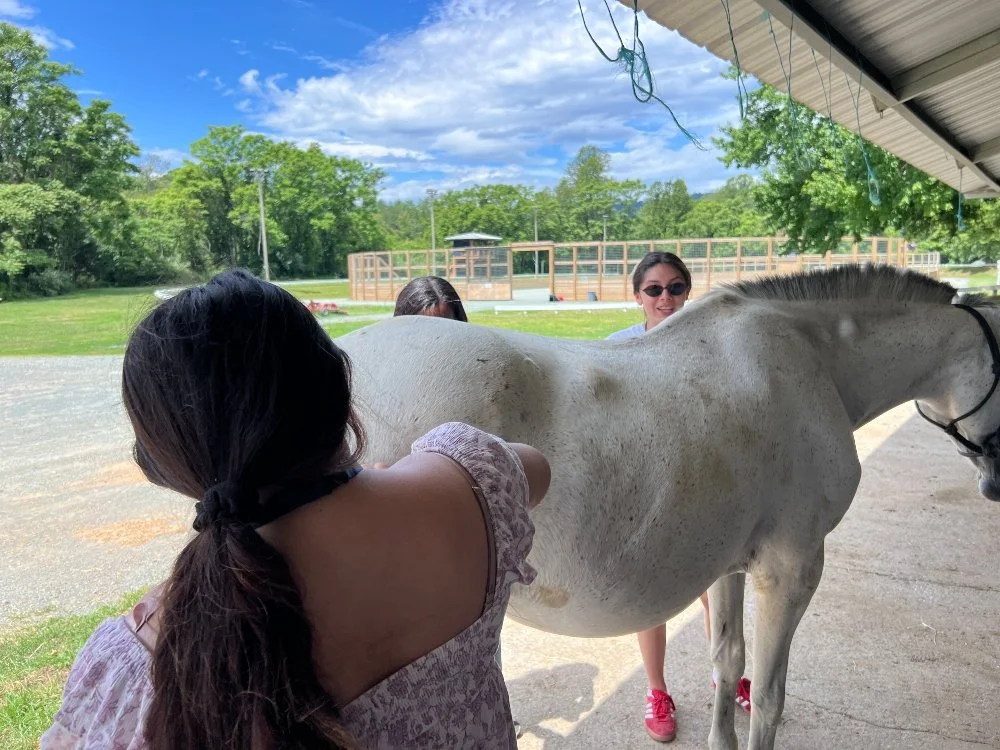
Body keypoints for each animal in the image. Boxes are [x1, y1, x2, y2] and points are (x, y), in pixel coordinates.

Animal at [336, 265, 1000, 750]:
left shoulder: (734, 564)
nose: (996, 482)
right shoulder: (791, 569)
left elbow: (728, 660)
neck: (811, 362)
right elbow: (770, 697)